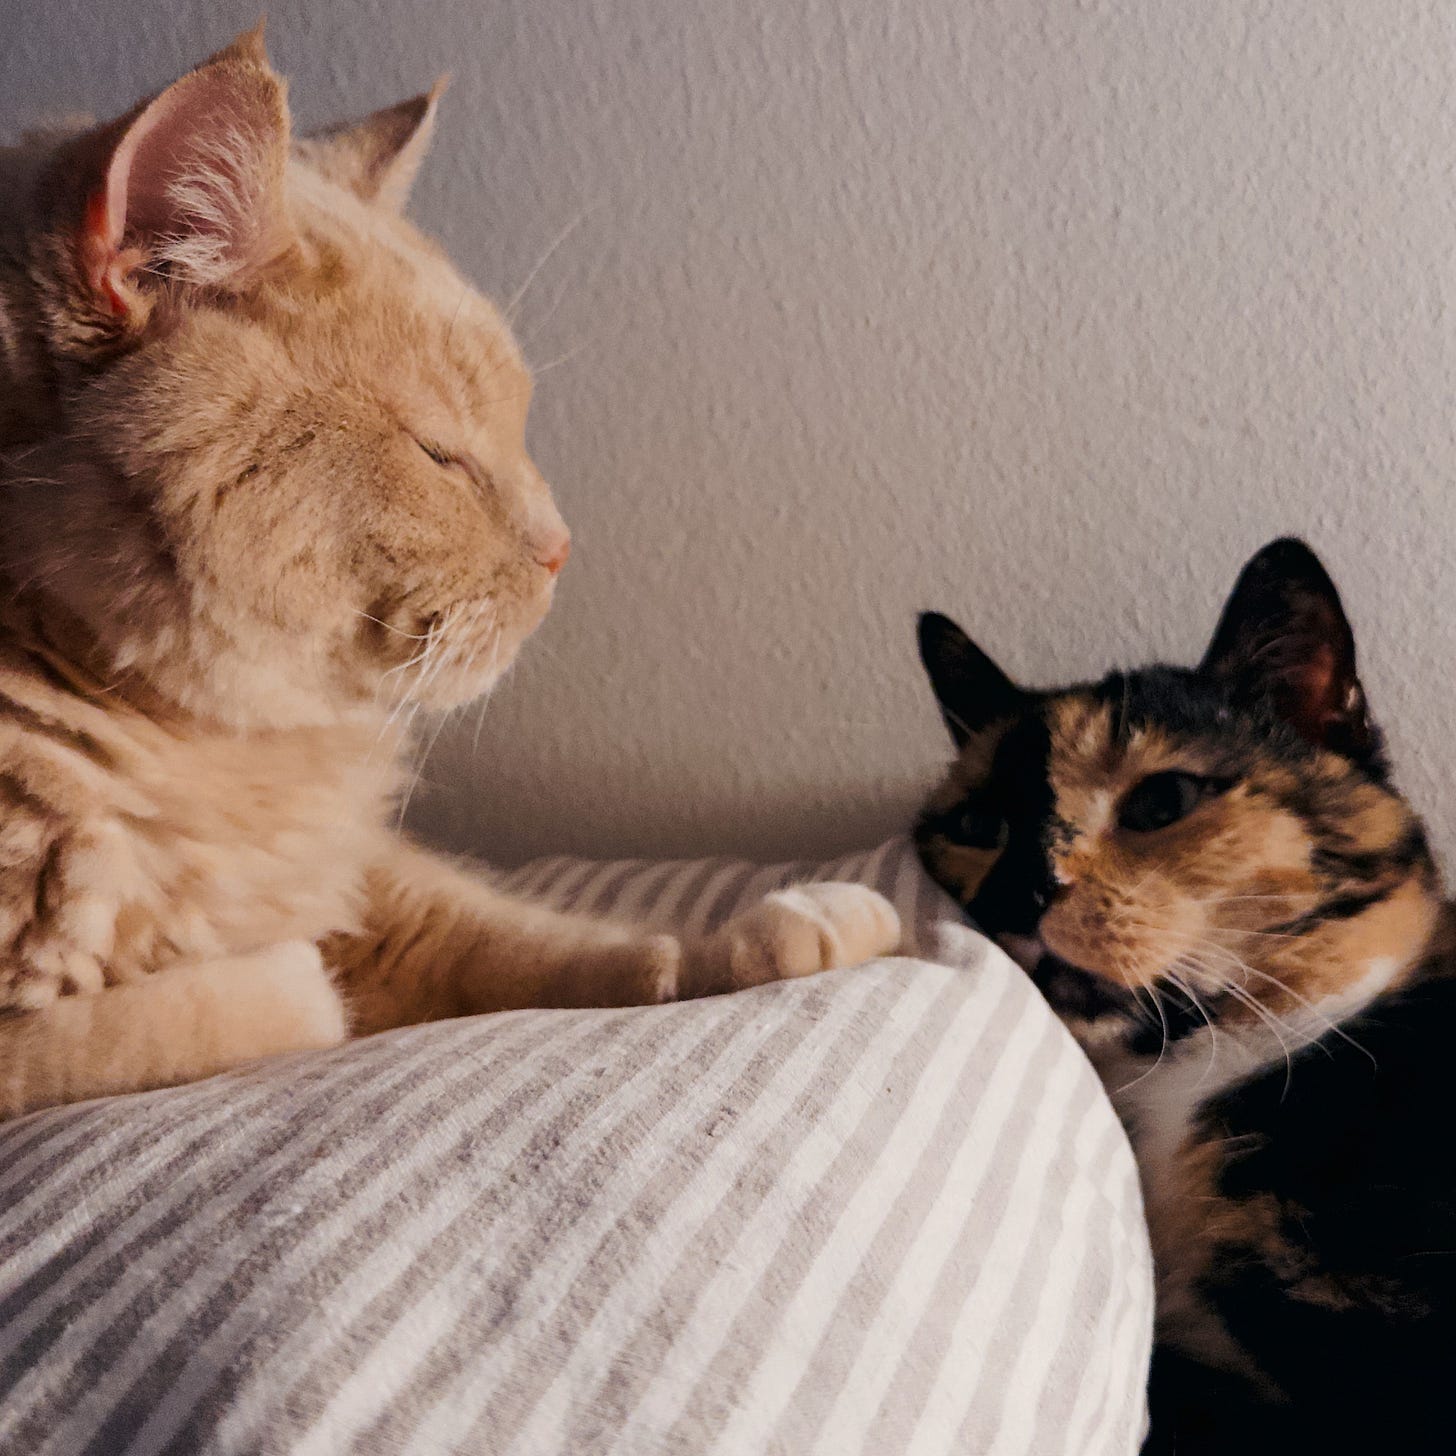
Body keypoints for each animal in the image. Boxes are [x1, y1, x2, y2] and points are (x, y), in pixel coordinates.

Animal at [0, 28, 896, 1118]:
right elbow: (224, 1005)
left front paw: (760, 939)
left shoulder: (369, 874)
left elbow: (532, 939)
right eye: (442, 457)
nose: (563, 546)